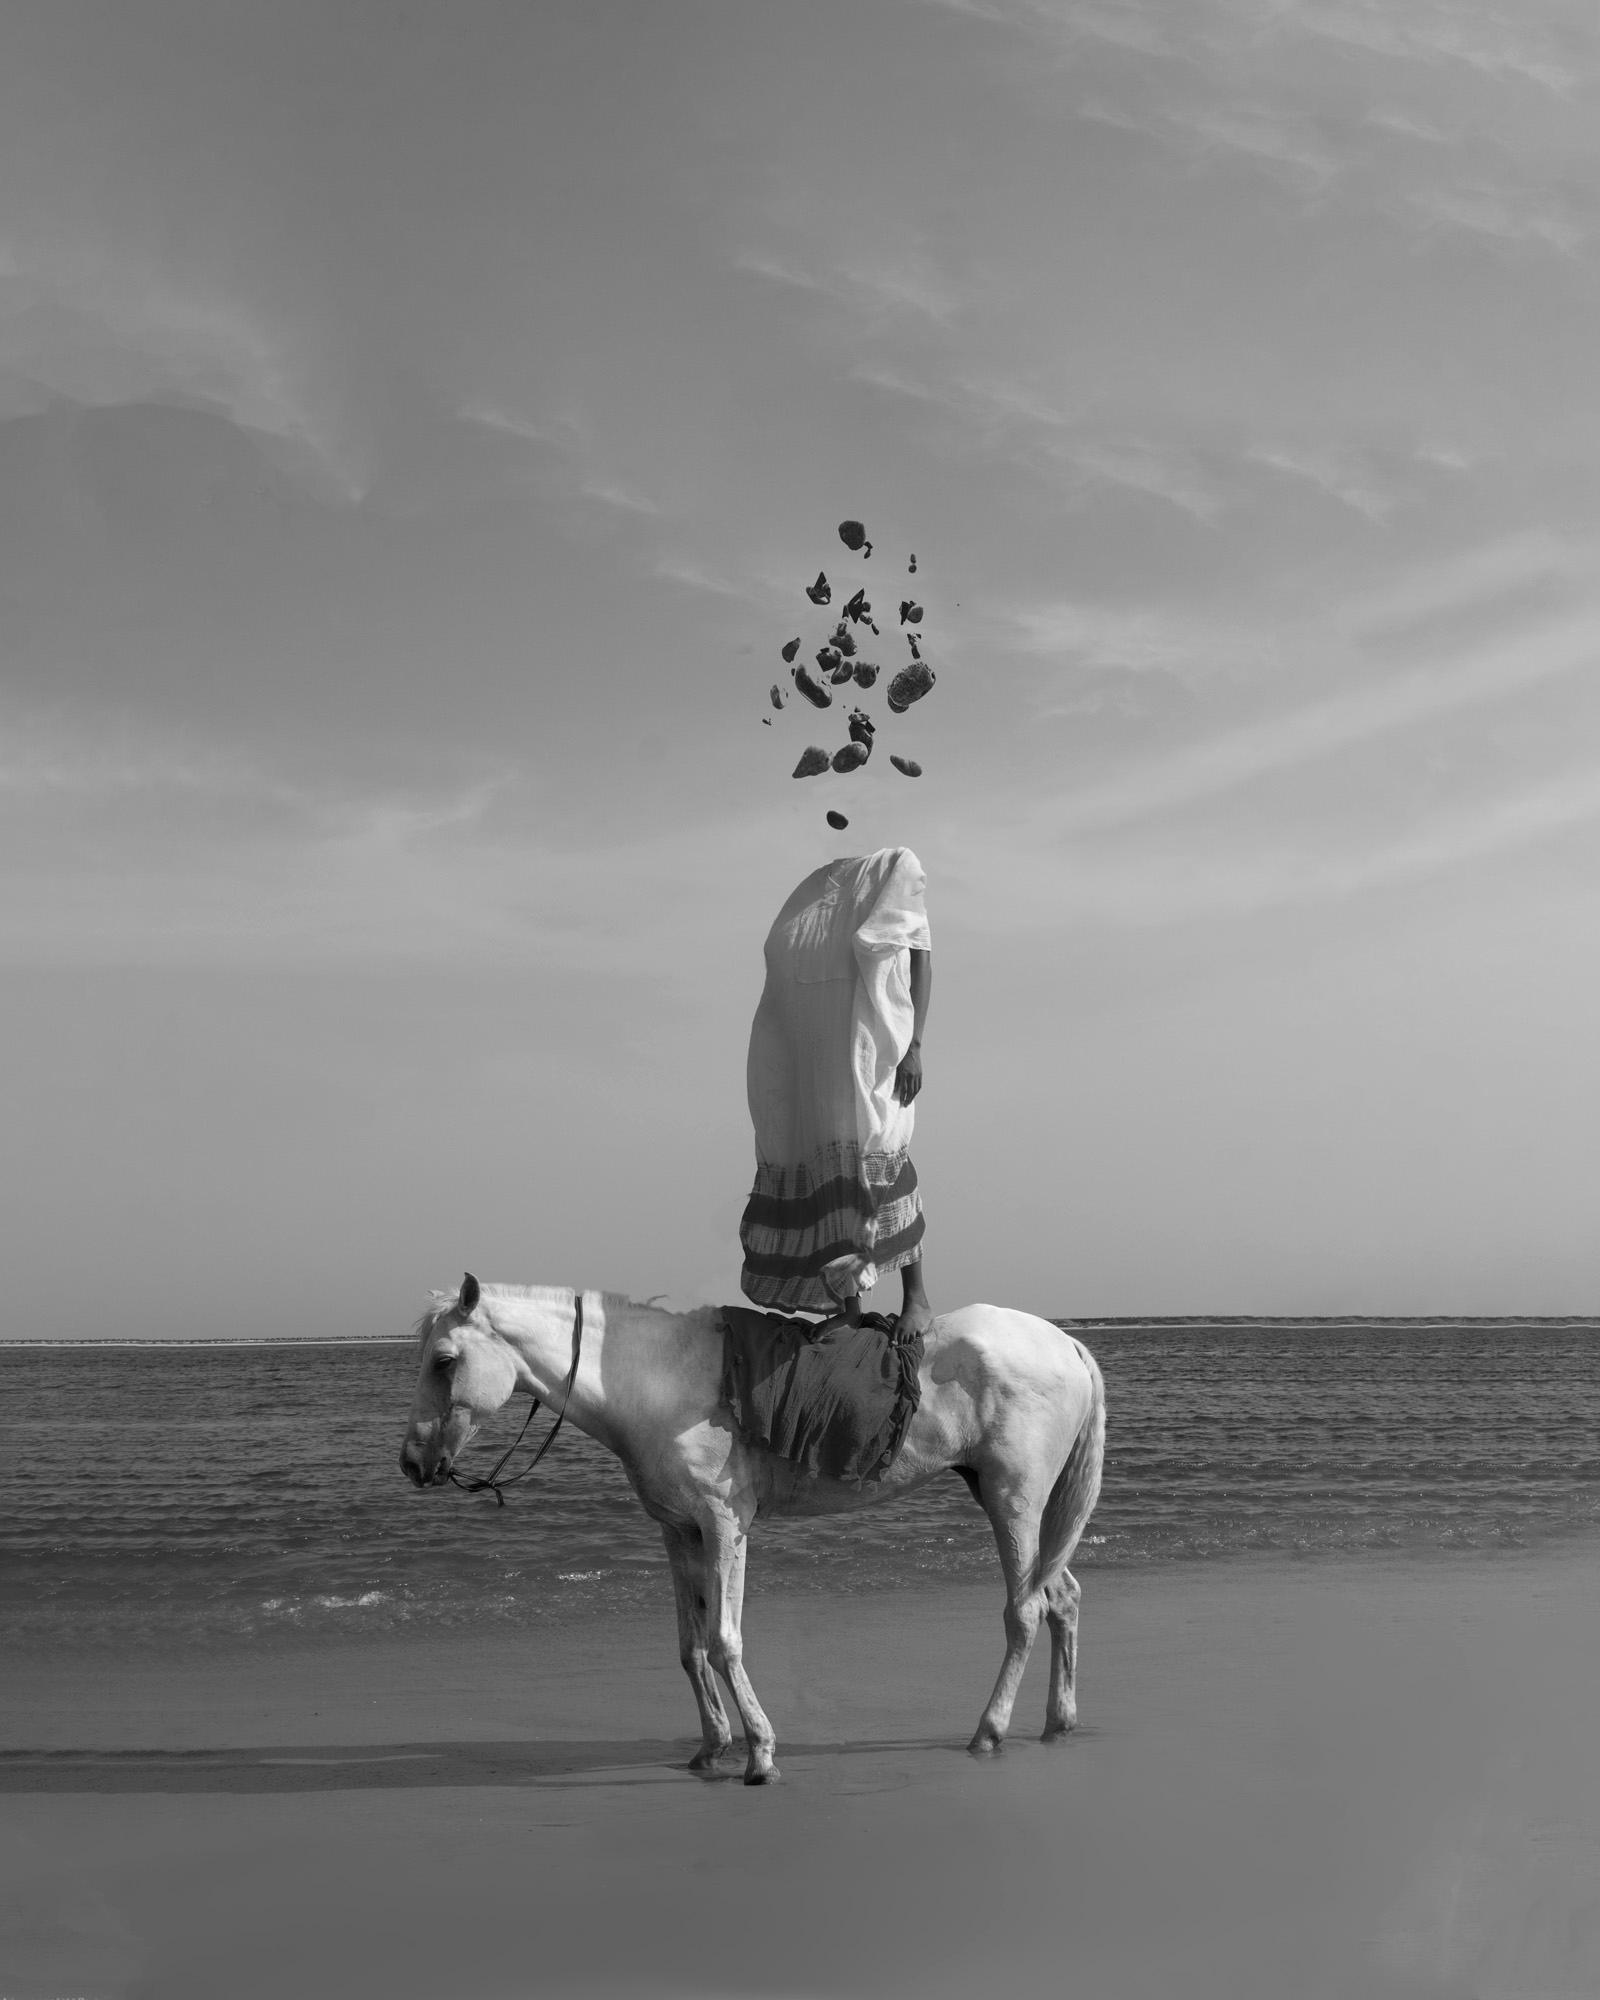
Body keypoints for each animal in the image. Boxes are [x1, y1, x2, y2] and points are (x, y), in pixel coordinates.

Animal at [398, 1275, 1106, 1785]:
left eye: (444, 1360)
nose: (411, 1462)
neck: (657, 1381)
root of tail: (1065, 1344)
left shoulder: (723, 1526)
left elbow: (724, 1641)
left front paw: (761, 1754)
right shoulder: (679, 1533)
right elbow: (690, 1648)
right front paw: (712, 1749)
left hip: (1013, 1502)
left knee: (1024, 1612)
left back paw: (990, 1731)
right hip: (1008, 1502)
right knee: (1062, 1597)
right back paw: (1058, 1722)